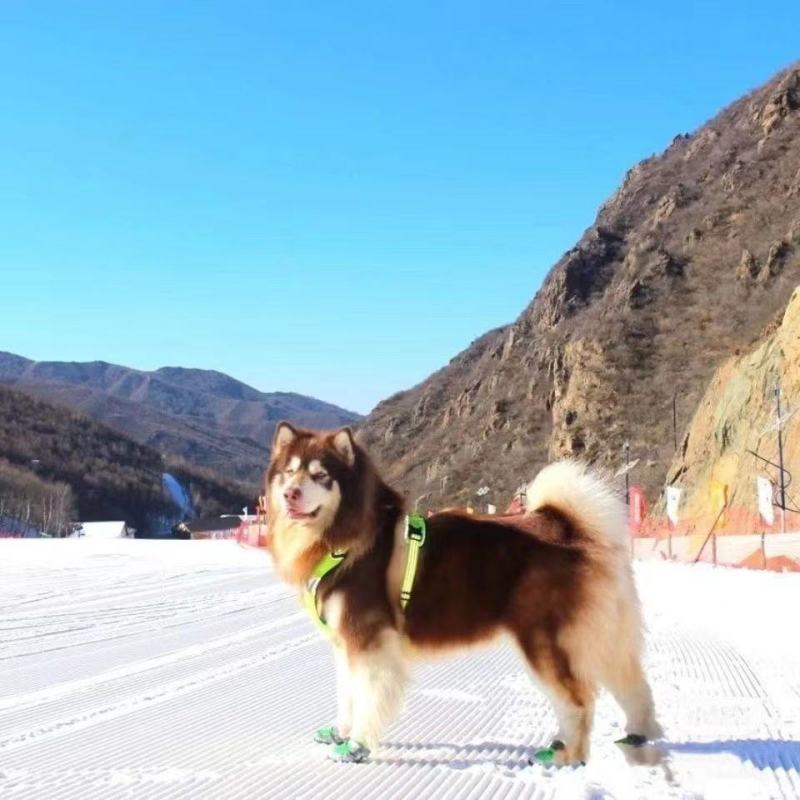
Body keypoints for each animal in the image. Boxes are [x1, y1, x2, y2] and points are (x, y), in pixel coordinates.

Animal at [266, 422, 660, 764]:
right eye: (289, 472)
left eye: (321, 475)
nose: (289, 494)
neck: (345, 540)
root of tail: (569, 528)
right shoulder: (345, 643)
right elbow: (347, 695)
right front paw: (341, 732)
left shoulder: (369, 643)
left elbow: (368, 697)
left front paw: (357, 745)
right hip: (599, 639)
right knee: (632, 686)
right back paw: (635, 734)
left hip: (546, 643)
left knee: (578, 703)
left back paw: (567, 756)